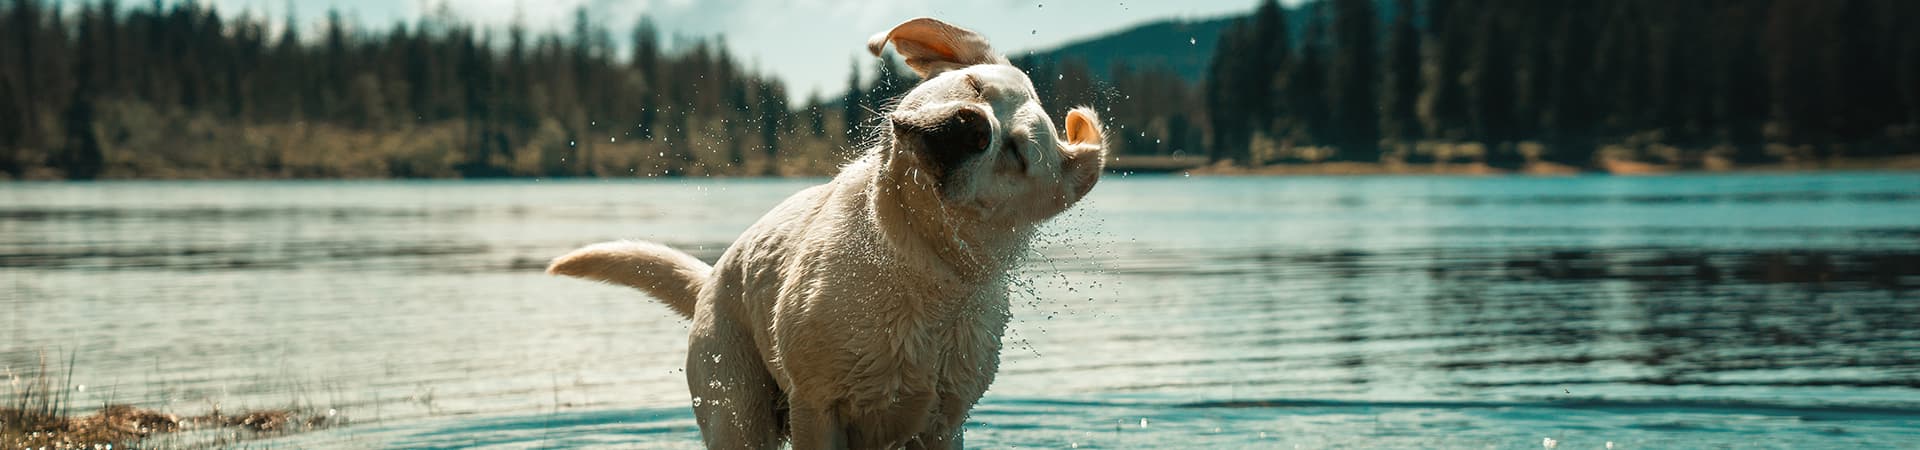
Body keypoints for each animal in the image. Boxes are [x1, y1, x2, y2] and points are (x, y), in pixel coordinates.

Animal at [549, 15, 1105, 448]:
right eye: (974, 87)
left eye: (1016, 153)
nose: (972, 127)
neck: (909, 258)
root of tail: (709, 280)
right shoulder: (816, 405)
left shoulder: (942, 424)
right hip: (736, 408)